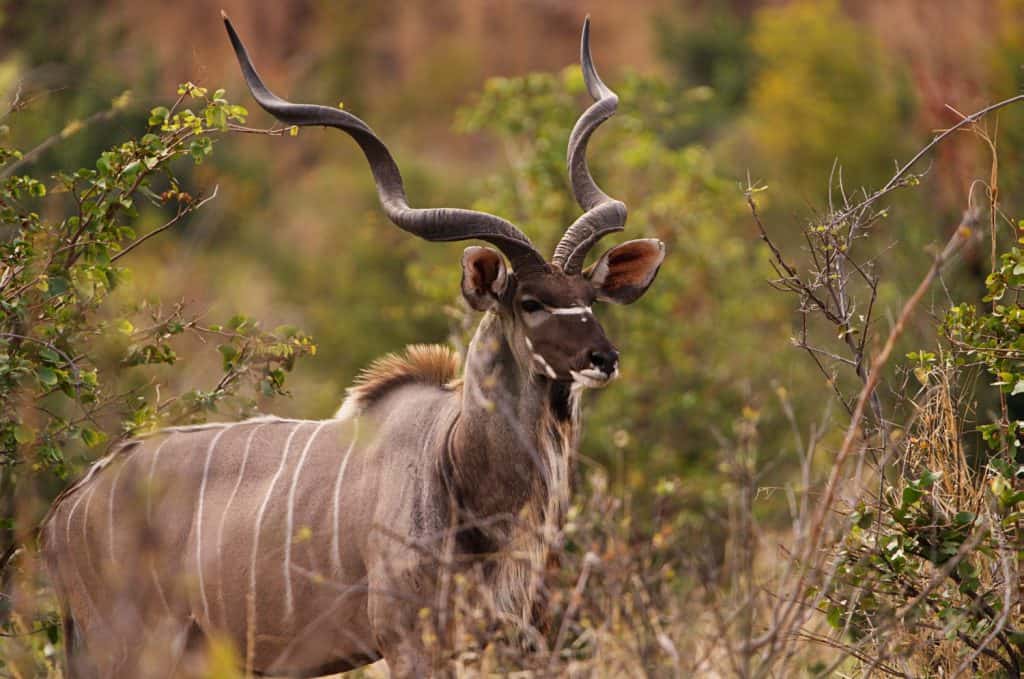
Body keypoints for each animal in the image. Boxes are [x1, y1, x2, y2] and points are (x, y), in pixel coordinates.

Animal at [41, 14, 665, 678]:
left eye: (590, 297)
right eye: (530, 303)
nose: (603, 358)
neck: (456, 459)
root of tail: (64, 513)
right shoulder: (409, 641)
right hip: (126, 647)